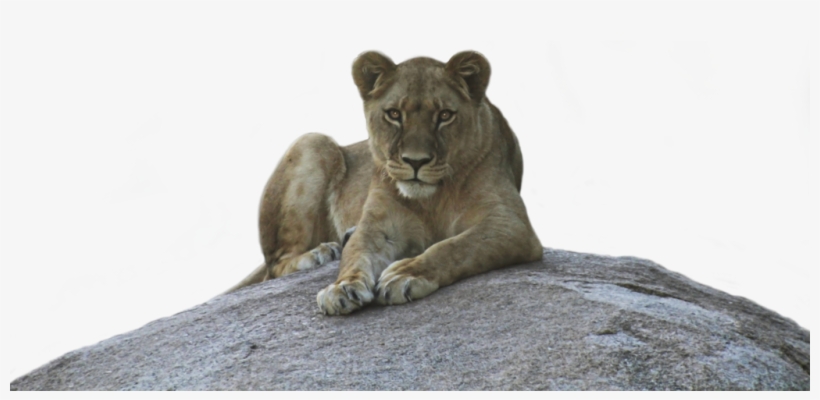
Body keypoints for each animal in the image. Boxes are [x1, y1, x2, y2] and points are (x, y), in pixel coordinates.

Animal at [226, 51, 543, 315]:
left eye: (444, 115)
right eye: (394, 114)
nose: (416, 161)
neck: (432, 199)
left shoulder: (510, 225)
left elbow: (455, 247)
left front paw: (406, 274)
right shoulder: (379, 227)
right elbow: (356, 255)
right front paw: (342, 288)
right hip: (314, 141)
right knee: (275, 265)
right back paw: (319, 253)